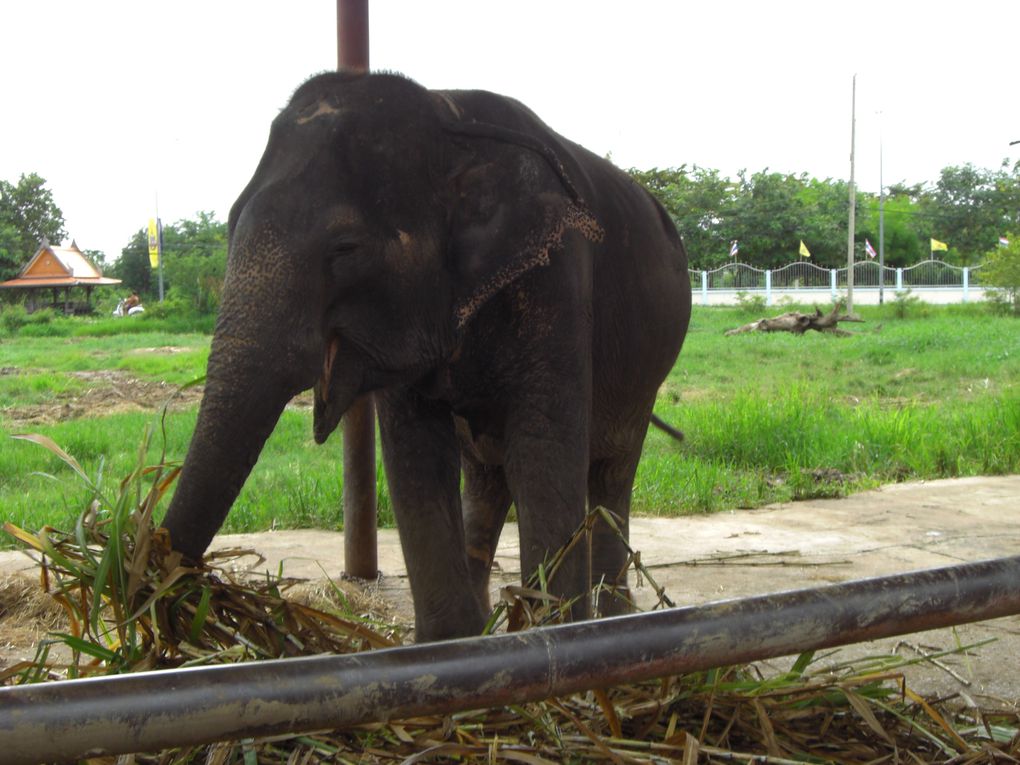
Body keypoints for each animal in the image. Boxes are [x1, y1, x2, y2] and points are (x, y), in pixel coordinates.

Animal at [163, 71, 693, 644]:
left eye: (346, 248)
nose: (160, 579)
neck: (448, 116)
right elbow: (416, 450)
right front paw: (451, 645)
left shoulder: (556, 275)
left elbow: (541, 446)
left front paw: (551, 637)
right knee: (486, 477)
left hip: (645, 373)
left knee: (610, 472)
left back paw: (615, 618)